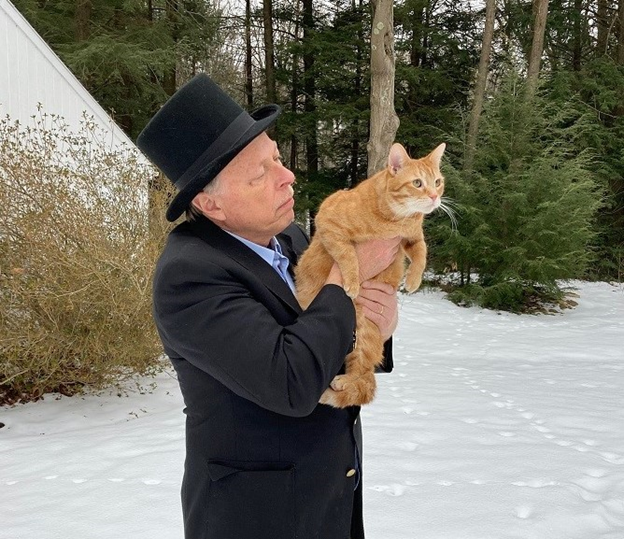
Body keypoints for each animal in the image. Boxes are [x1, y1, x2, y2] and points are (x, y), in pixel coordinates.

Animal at [294, 143, 446, 410]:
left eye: (437, 182)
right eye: (418, 183)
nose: (434, 197)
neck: (395, 220)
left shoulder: (411, 238)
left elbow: (422, 253)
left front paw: (413, 280)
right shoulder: (327, 221)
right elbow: (348, 255)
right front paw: (353, 282)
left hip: (362, 334)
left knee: (363, 372)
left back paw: (343, 382)